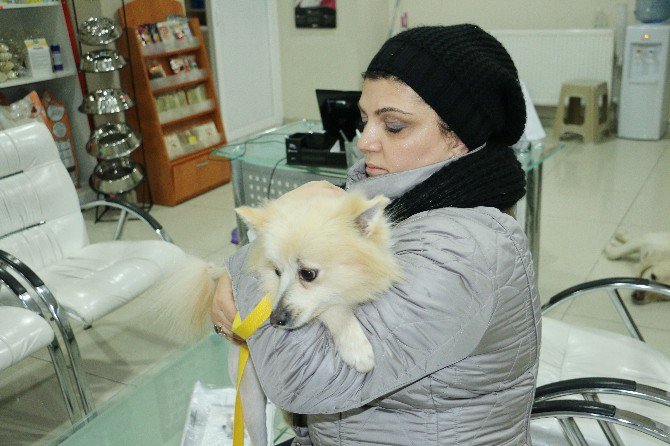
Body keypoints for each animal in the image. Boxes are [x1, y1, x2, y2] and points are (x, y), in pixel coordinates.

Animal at [158, 186, 402, 446]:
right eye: (277, 272)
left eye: (308, 274)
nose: (275, 319)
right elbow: (332, 309)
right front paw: (356, 347)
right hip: (251, 395)